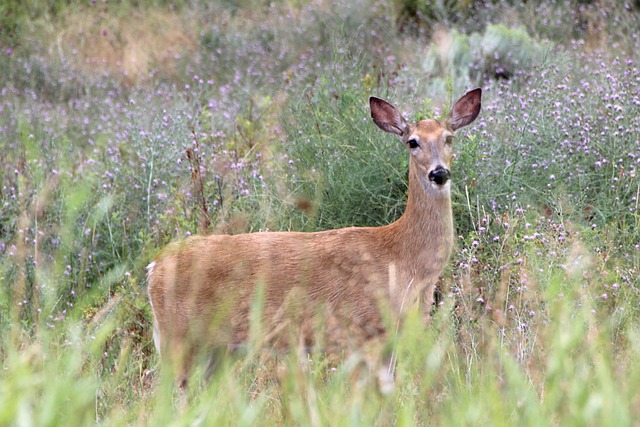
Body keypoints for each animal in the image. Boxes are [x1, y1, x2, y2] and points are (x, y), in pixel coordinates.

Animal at [147, 89, 482, 389]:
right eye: (413, 142)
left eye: (449, 138)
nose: (439, 173)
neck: (403, 258)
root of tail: (154, 267)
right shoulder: (362, 330)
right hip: (177, 336)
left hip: (219, 349)